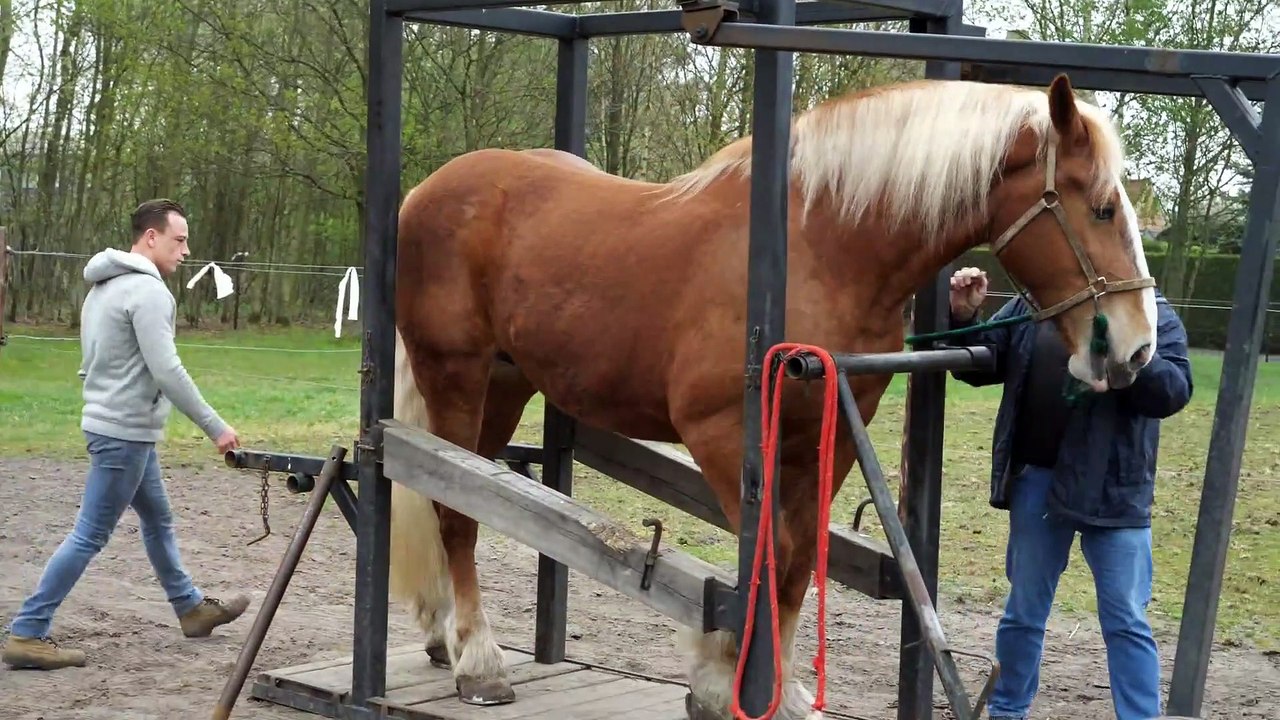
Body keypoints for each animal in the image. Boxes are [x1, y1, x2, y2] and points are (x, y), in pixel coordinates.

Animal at [386, 73, 1158, 717]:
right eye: (1101, 208)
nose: (1136, 349)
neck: (824, 248)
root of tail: (426, 192)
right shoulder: (724, 435)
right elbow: (764, 557)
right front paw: (725, 682)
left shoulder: (830, 438)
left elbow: (795, 563)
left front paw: (766, 694)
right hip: (456, 376)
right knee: (455, 510)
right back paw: (479, 661)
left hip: (503, 385)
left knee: (458, 492)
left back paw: (444, 637)